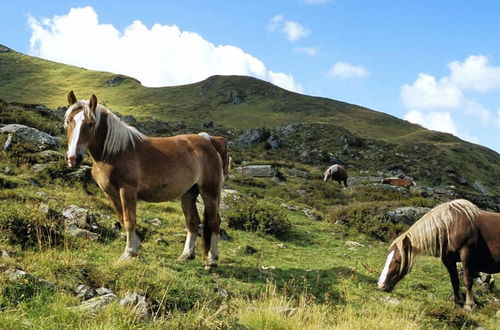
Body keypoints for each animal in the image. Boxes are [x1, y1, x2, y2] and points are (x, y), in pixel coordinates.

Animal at [63, 91, 228, 270]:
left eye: (91, 124)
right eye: (69, 121)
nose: (73, 158)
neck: (115, 152)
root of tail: (210, 141)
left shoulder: (127, 191)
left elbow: (129, 221)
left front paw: (129, 253)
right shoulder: (111, 194)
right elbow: (122, 219)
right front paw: (136, 250)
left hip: (210, 192)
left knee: (214, 222)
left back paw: (211, 260)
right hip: (189, 193)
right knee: (192, 222)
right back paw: (186, 255)